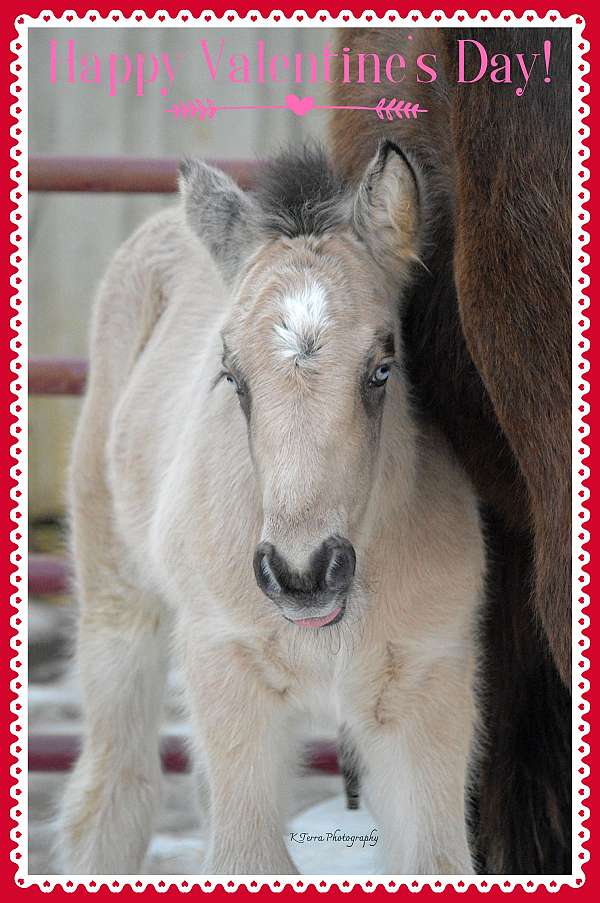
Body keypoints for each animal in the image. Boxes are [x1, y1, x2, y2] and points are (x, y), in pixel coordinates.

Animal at [60, 142, 485, 875]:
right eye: (232, 376)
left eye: (382, 368)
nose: (302, 574)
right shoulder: (224, 665)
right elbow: (247, 859)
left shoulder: (429, 685)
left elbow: (435, 861)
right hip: (117, 596)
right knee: (114, 789)